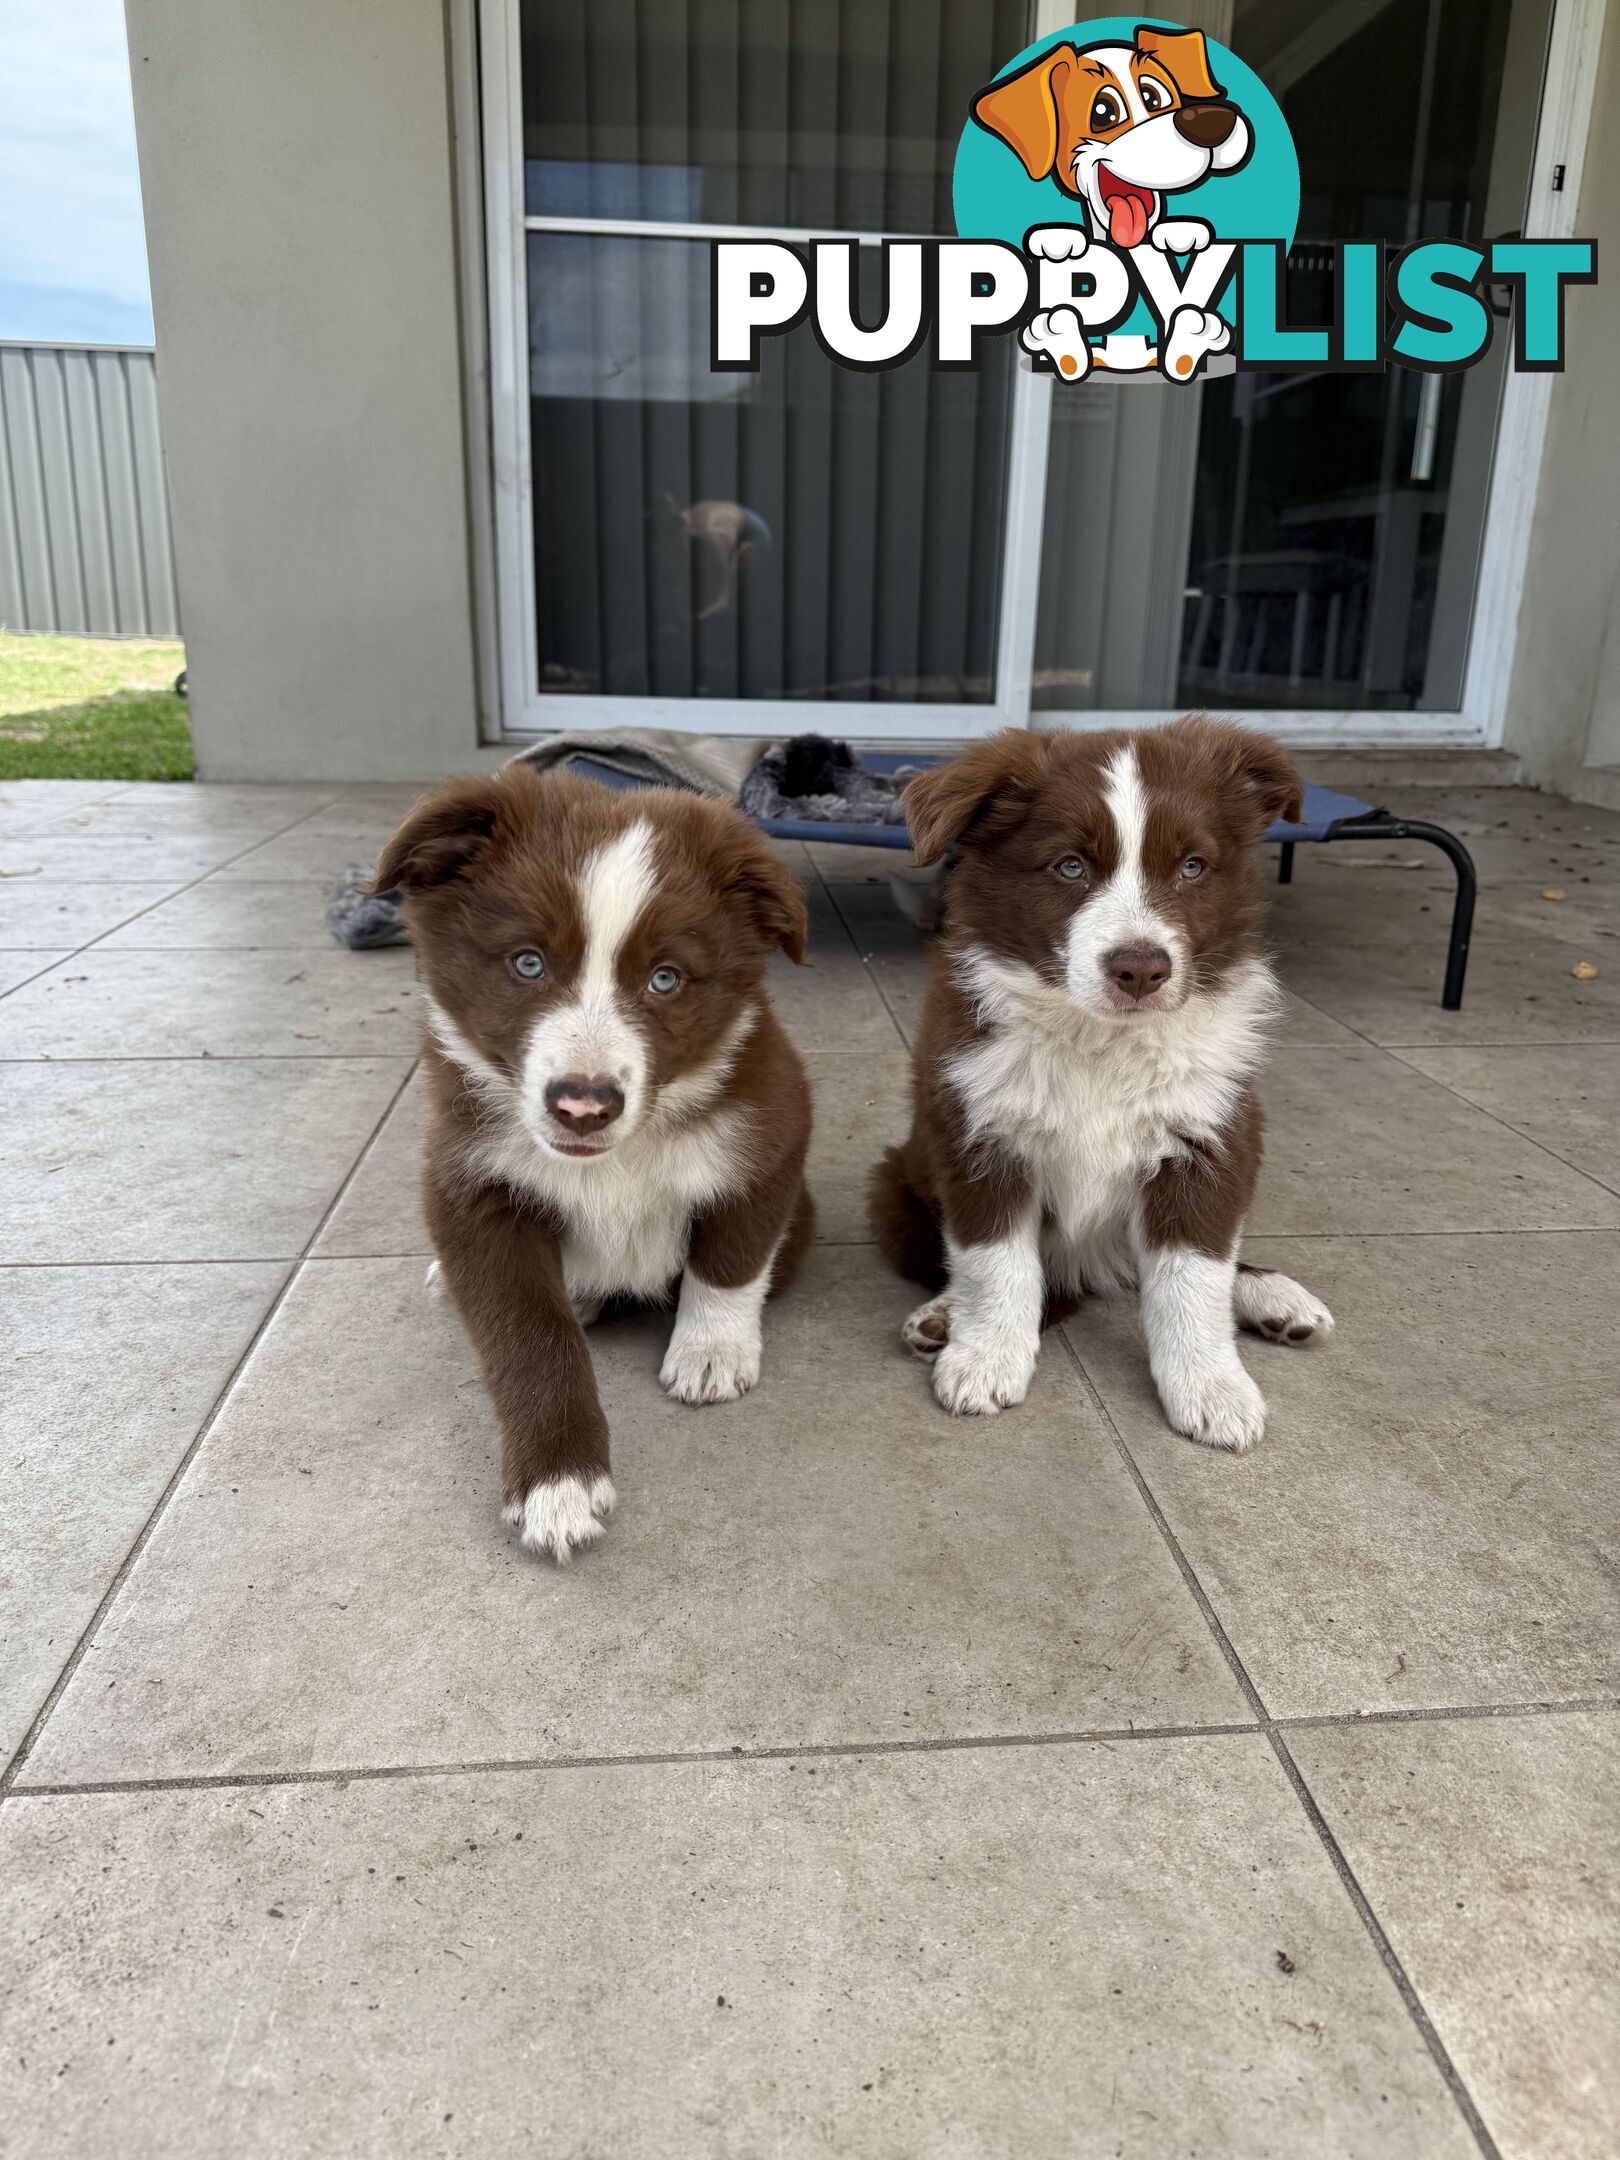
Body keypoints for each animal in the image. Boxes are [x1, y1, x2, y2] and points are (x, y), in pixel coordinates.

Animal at [378, 768, 812, 1563]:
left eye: (666, 979)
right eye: (527, 963)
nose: (584, 1106)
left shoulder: (771, 1130)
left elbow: (730, 1257)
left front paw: (711, 1351)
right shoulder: (469, 1187)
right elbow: (528, 1334)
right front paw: (558, 1485)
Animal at [876, 721, 1330, 1451]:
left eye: (1191, 868)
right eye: (1070, 867)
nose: (1140, 970)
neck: (1103, 1043)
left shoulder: (1212, 1140)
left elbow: (1193, 1277)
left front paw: (1213, 1390)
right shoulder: (981, 1137)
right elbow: (998, 1265)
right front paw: (984, 1359)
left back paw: (1272, 1296)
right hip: (898, 1193)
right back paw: (946, 1318)